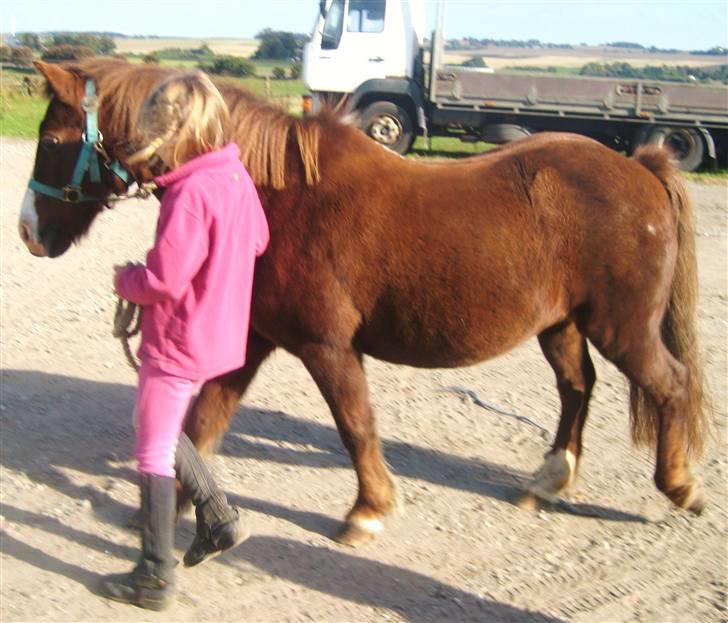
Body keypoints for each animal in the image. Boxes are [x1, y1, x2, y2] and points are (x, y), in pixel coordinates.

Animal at [19, 58, 709, 546]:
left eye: (51, 140)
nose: (28, 232)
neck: (272, 195)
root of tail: (642, 167)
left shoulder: (327, 347)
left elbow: (354, 425)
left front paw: (368, 511)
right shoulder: (254, 341)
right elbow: (203, 423)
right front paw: (173, 509)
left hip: (623, 328)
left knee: (669, 385)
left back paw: (680, 487)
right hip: (560, 324)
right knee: (576, 387)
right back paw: (548, 479)